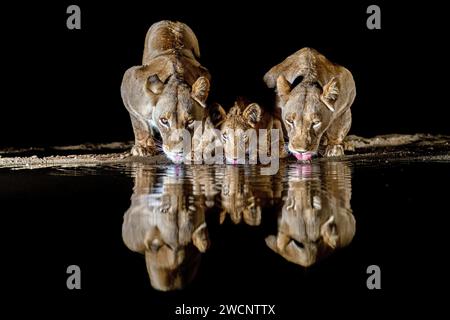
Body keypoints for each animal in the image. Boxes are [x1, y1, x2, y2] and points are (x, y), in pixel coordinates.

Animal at [119, 20, 211, 162]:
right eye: (164, 121)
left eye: (190, 121)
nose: (178, 152)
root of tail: (172, 21)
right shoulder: (129, 81)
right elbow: (139, 124)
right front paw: (143, 147)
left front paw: (196, 150)